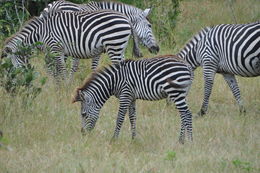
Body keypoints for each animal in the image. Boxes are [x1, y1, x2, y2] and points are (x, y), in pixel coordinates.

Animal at [1, 10, 136, 81]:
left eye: (13, 59)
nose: (24, 76)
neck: (40, 33)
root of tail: (126, 19)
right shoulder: (52, 52)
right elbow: (53, 70)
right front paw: (56, 86)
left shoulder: (56, 48)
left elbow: (61, 69)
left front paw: (64, 86)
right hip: (120, 48)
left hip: (114, 46)